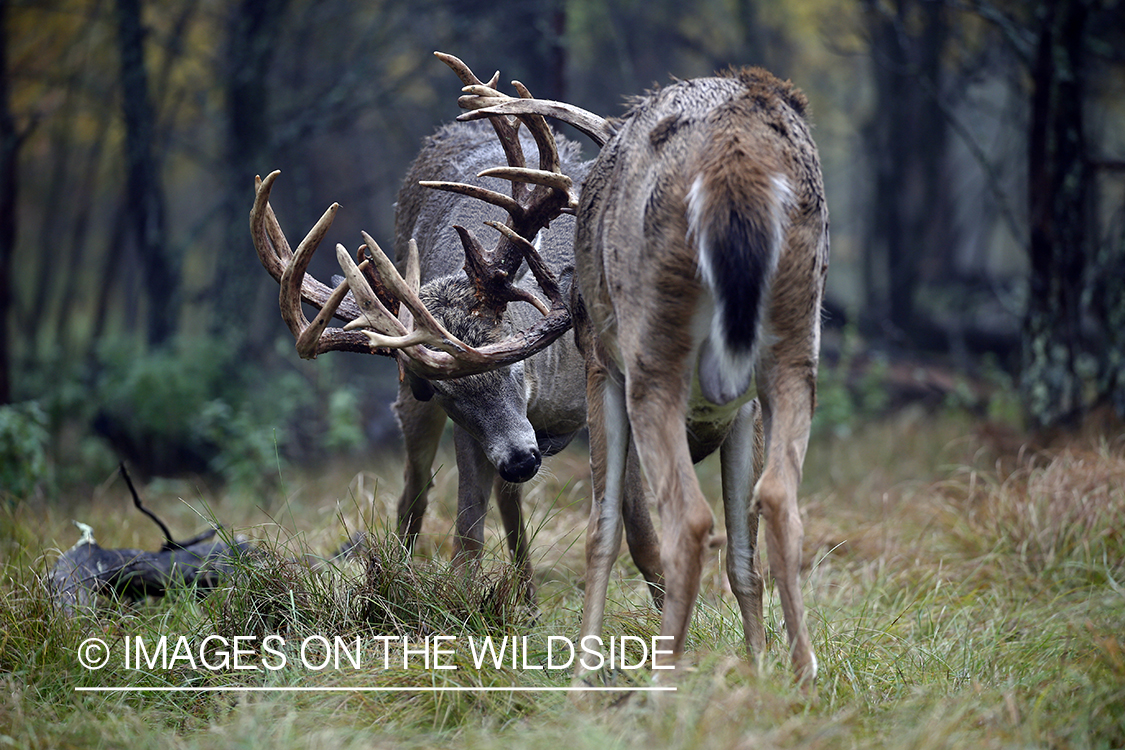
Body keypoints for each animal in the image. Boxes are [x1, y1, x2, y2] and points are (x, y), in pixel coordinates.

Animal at [250, 52, 661, 607]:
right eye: (447, 393)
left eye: (513, 364)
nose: (520, 458)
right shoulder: (465, 427)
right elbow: (467, 532)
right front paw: (461, 599)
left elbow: (641, 529)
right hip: (411, 407)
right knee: (418, 494)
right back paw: (403, 576)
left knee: (504, 501)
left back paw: (526, 597)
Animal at [461, 67, 832, 683]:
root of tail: (735, 171)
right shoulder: (745, 406)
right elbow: (743, 554)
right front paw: (757, 666)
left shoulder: (601, 366)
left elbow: (604, 529)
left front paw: (584, 672)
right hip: (797, 342)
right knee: (781, 500)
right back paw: (803, 678)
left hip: (653, 350)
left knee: (688, 522)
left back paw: (662, 682)